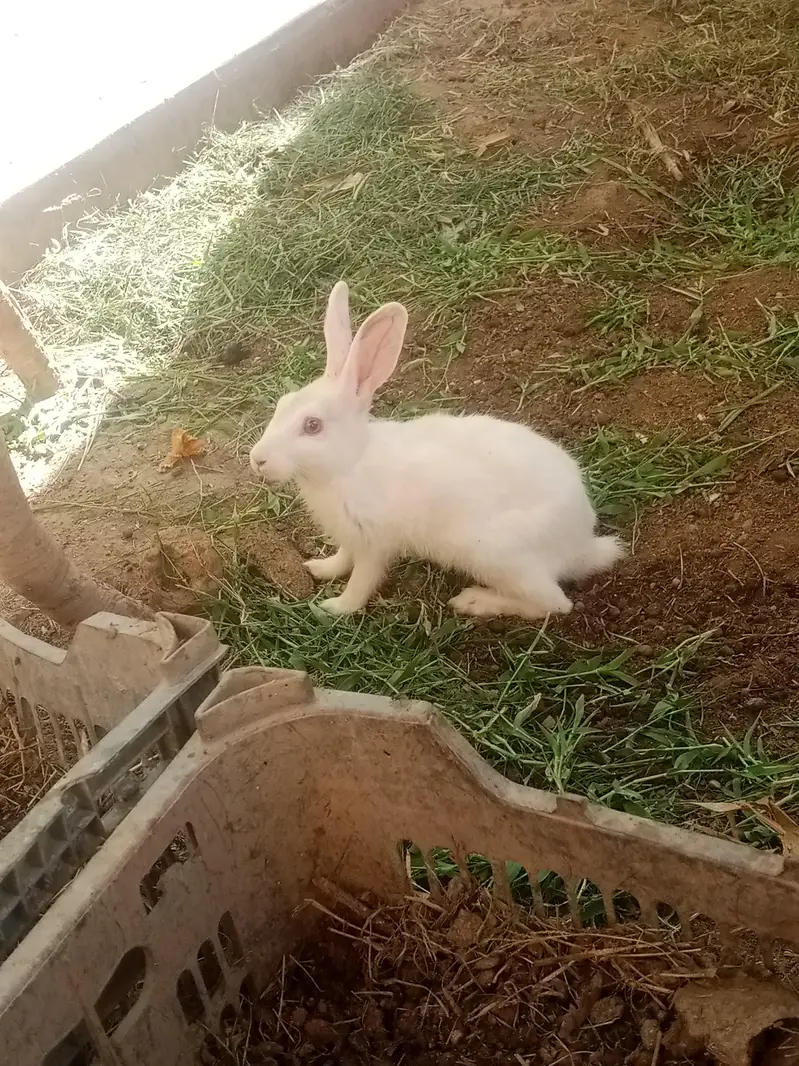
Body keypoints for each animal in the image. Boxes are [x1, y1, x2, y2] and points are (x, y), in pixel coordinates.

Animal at [249, 281, 625, 618]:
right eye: (282, 404)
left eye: (312, 426)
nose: (257, 459)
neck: (349, 464)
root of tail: (581, 544)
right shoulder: (351, 537)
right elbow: (343, 558)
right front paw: (319, 568)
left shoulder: (375, 544)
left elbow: (362, 579)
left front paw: (336, 607)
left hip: (496, 556)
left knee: (555, 604)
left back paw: (474, 601)